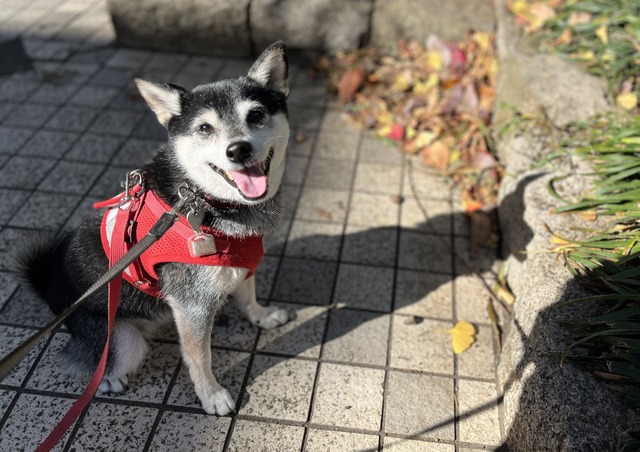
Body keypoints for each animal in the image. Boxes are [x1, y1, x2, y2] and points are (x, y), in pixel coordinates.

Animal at [17, 42, 292, 416]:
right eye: (204, 128)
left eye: (256, 114)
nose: (238, 149)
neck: (203, 201)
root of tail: (55, 293)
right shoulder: (192, 306)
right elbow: (199, 358)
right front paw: (212, 396)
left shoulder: (243, 263)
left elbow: (248, 297)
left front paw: (262, 316)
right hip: (123, 339)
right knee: (87, 360)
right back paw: (108, 379)